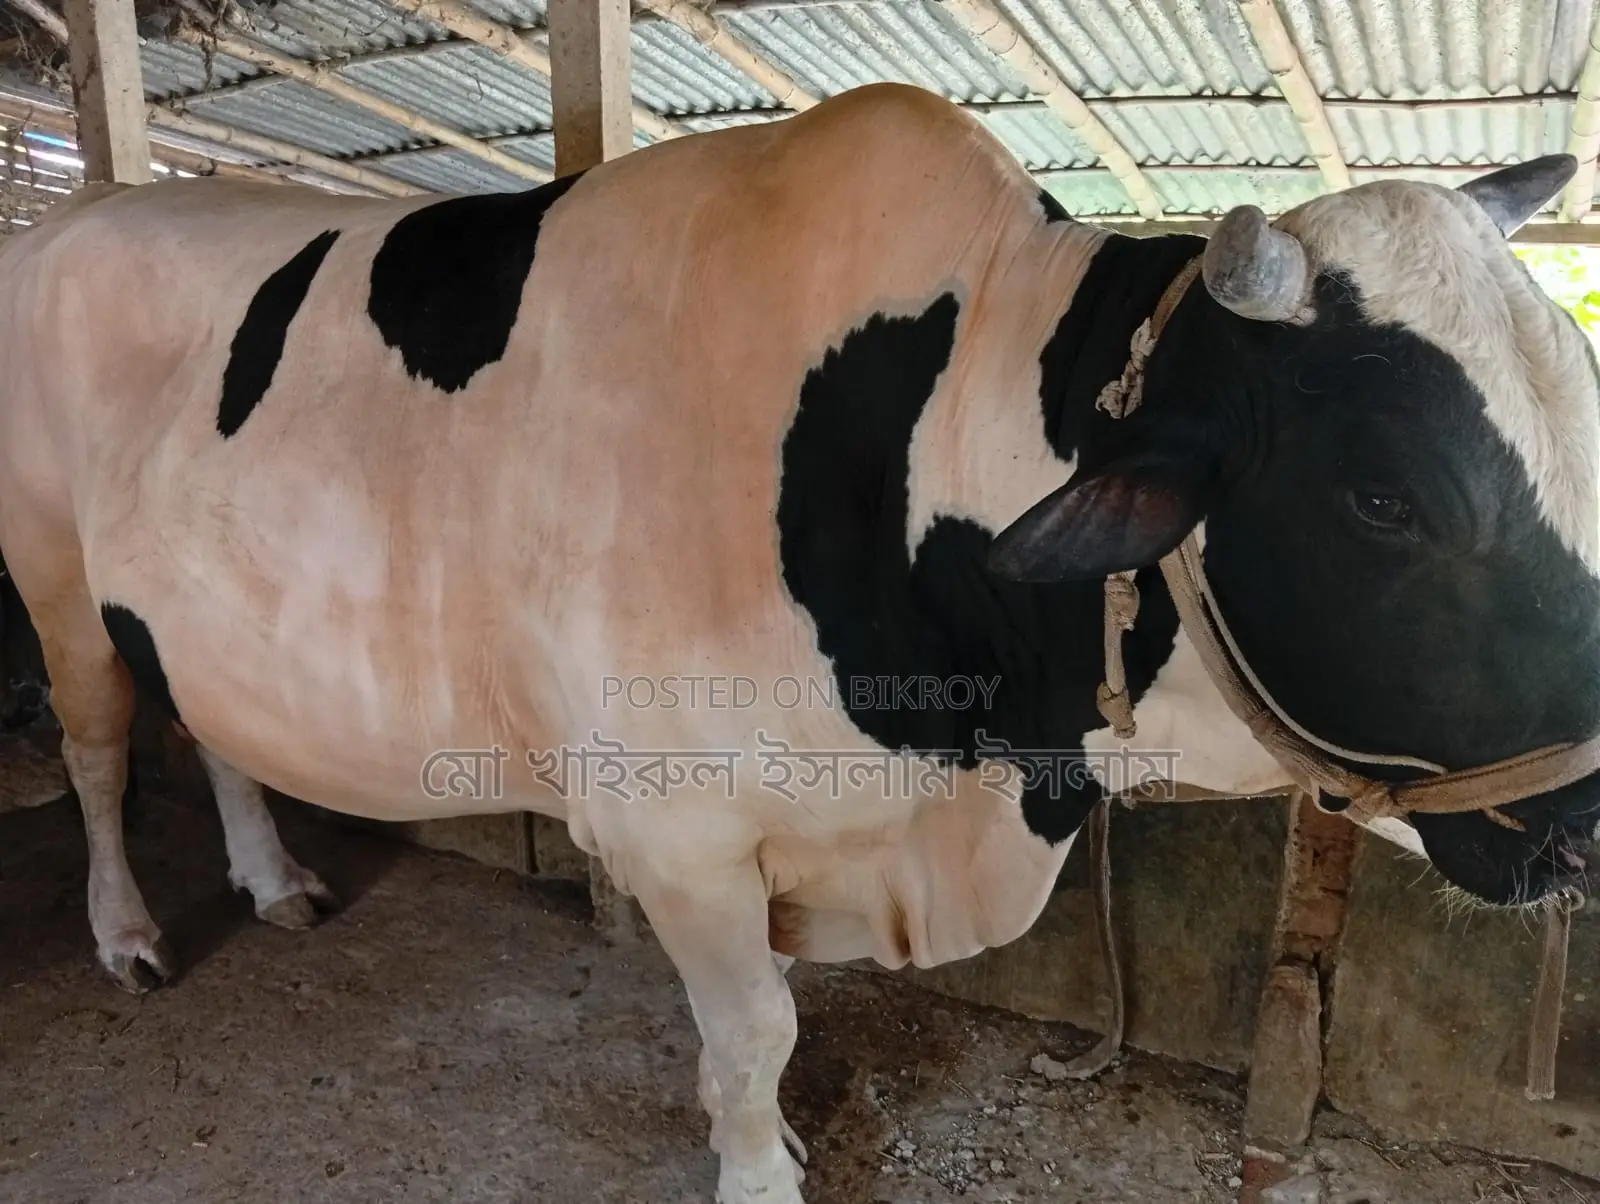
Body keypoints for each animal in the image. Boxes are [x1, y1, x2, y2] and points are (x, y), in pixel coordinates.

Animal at [0, 82, 1596, 1203]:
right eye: (1383, 496)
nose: (1588, 816)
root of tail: (82, 213)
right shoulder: (680, 828)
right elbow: (755, 1034)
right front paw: (760, 1170)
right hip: (56, 579)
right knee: (97, 749)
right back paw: (130, 934)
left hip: (191, 616)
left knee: (209, 721)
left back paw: (272, 881)